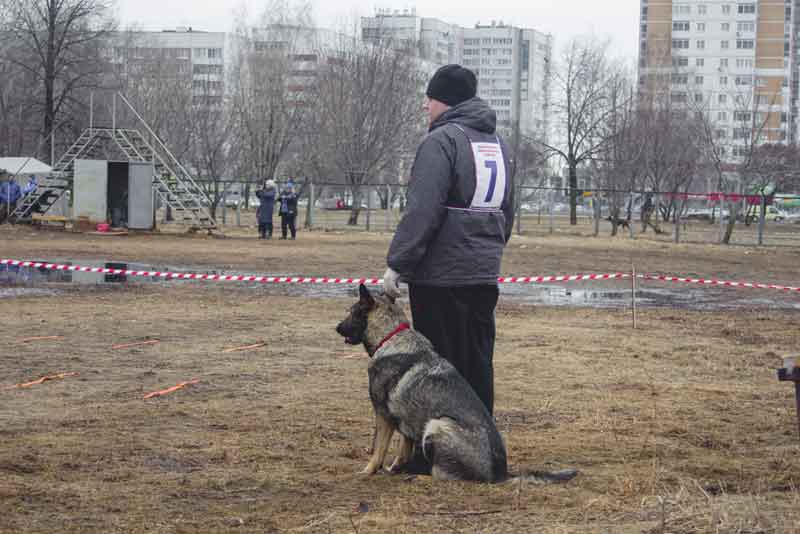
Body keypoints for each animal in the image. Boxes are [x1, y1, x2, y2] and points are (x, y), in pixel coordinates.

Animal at [334, 286, 580, 488]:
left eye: (351, 312)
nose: (337, 328)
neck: (391, 336)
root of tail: (500, 474)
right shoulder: (405, 419)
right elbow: (403, 449)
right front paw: (395, 468)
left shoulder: (383, 416)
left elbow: (378, 449)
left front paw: (367, 471)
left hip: (437, 425)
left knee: (446, 477)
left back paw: (420, 477)